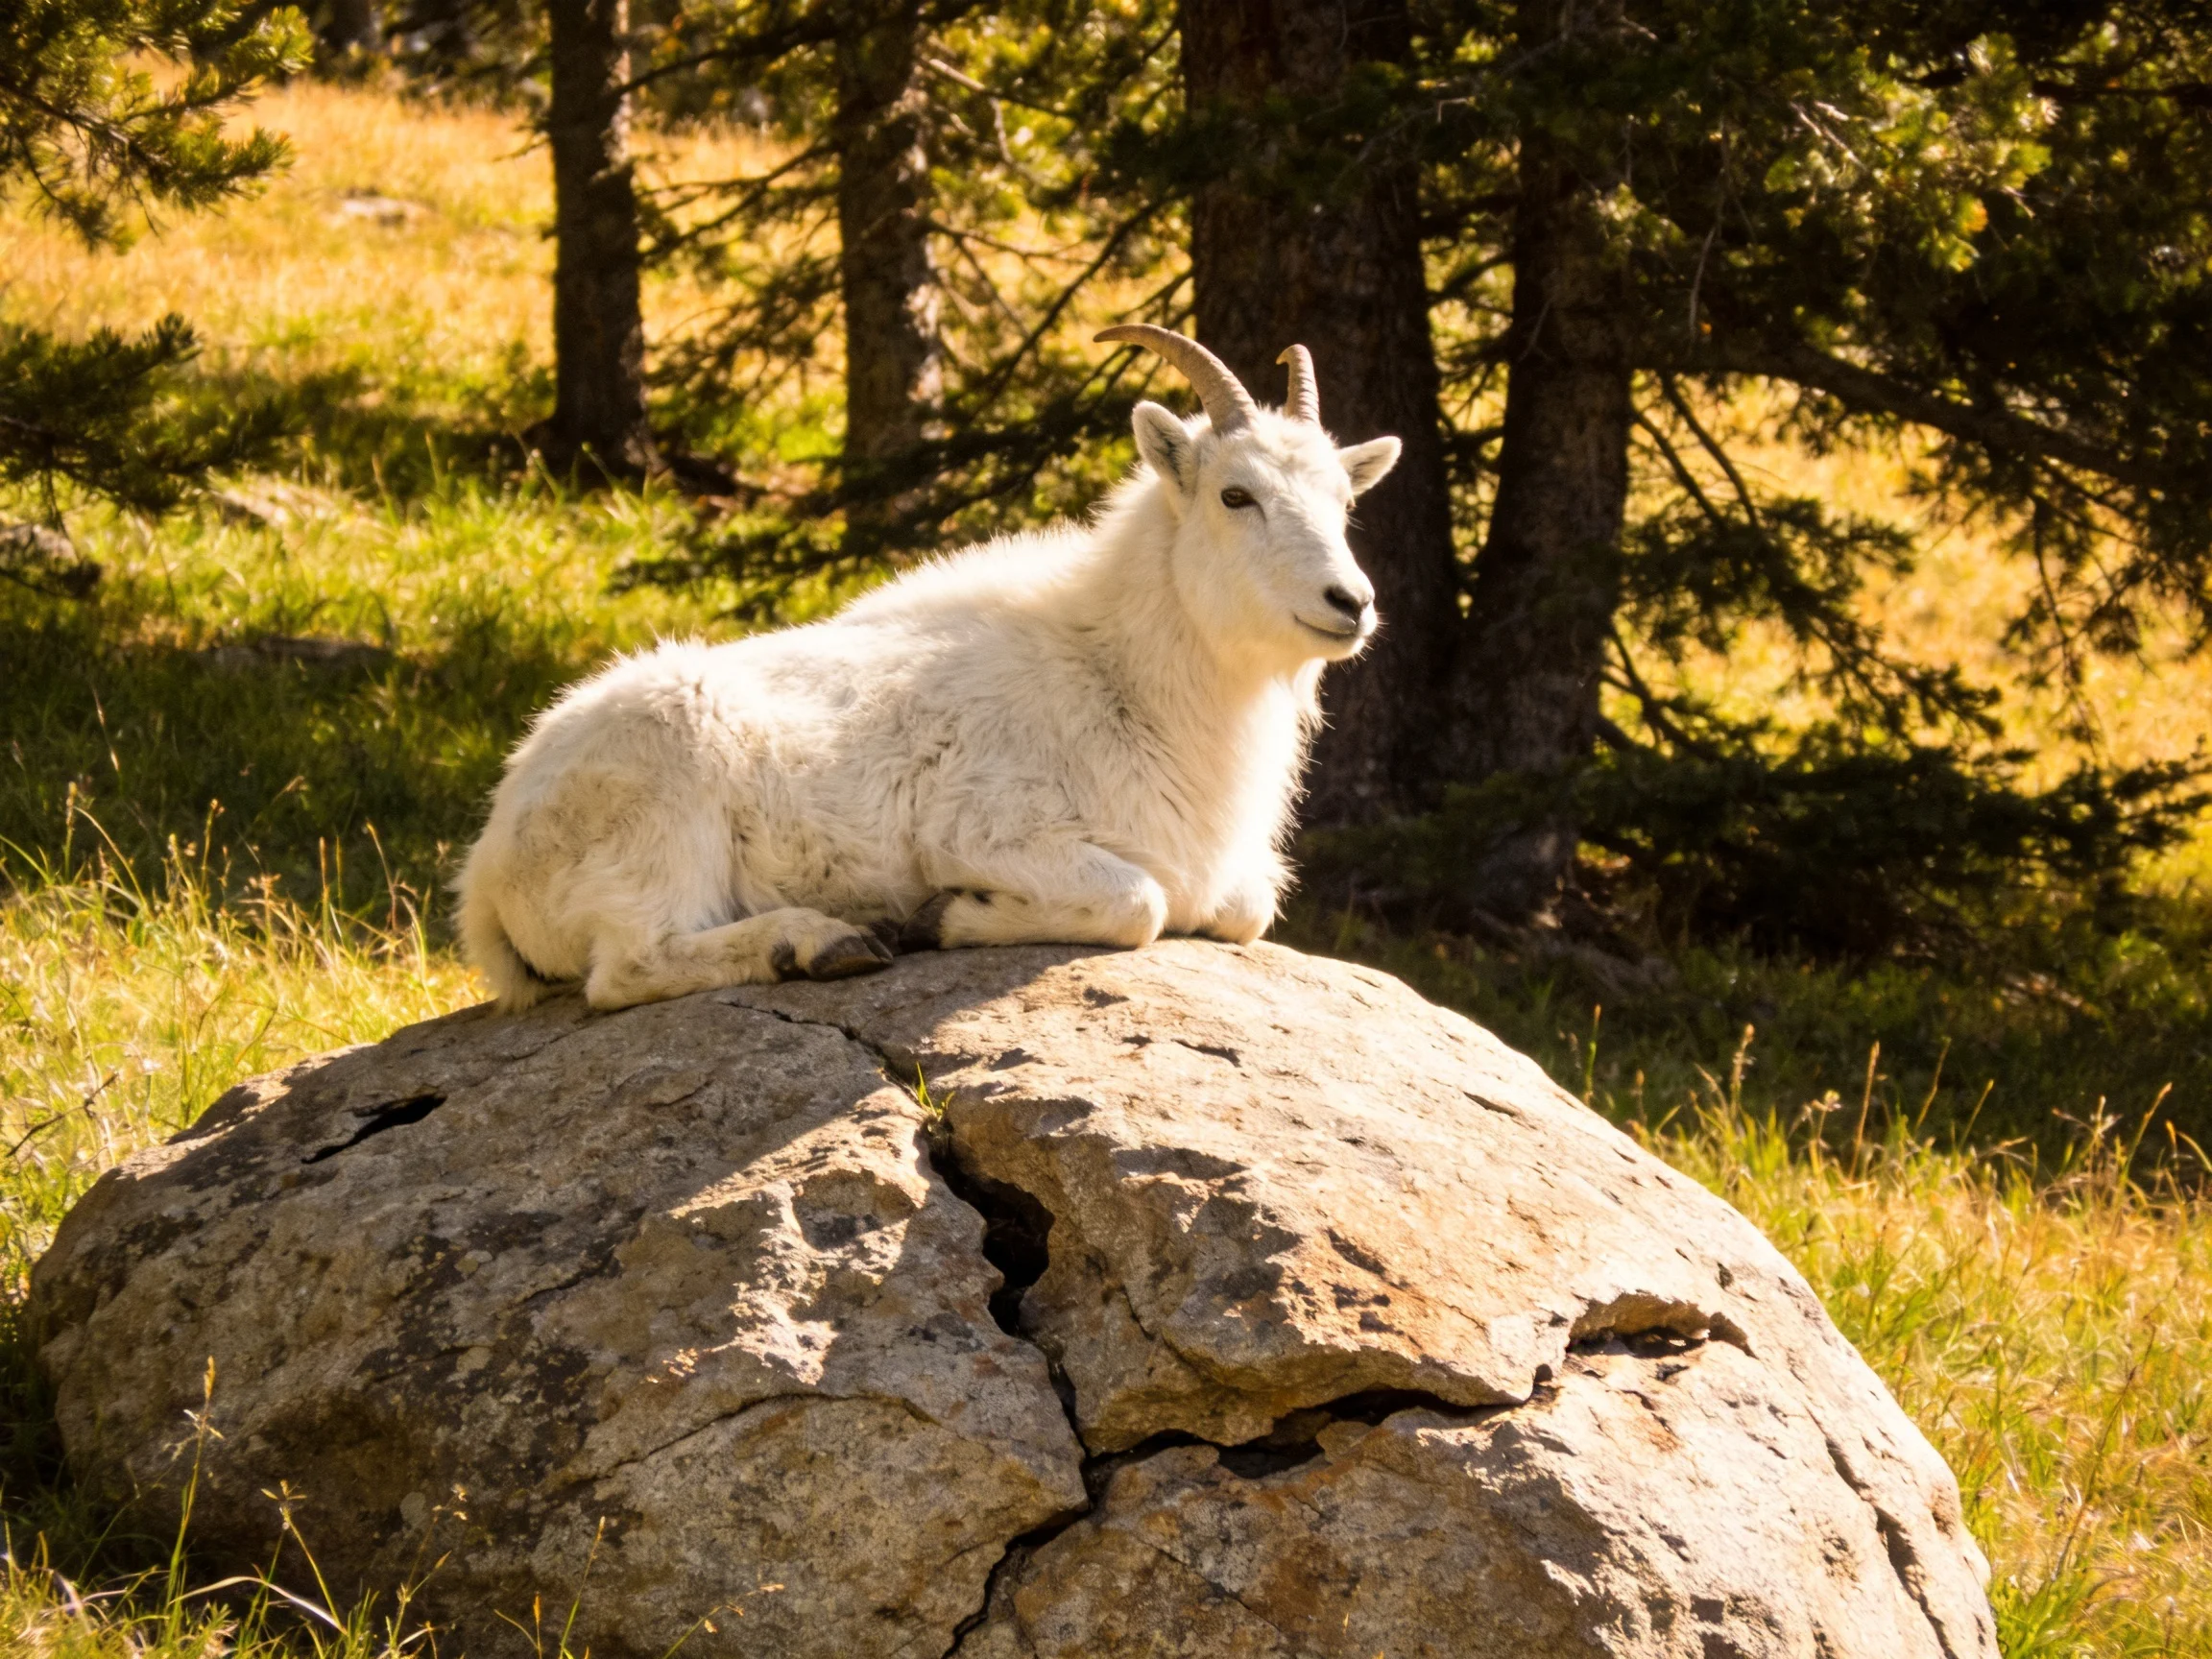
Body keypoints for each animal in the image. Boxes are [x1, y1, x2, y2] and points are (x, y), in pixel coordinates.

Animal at [457, 326, 1401, 1011]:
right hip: (660, 823)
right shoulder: (984, 830)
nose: (1350, 602)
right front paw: (943, 916)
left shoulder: (1232, 877)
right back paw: (821, 942)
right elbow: (1140, 904)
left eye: (1345, 502)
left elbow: (1245, 910)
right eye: (1235, 496)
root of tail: (490, 875)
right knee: (627, 968)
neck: (1121, 675)